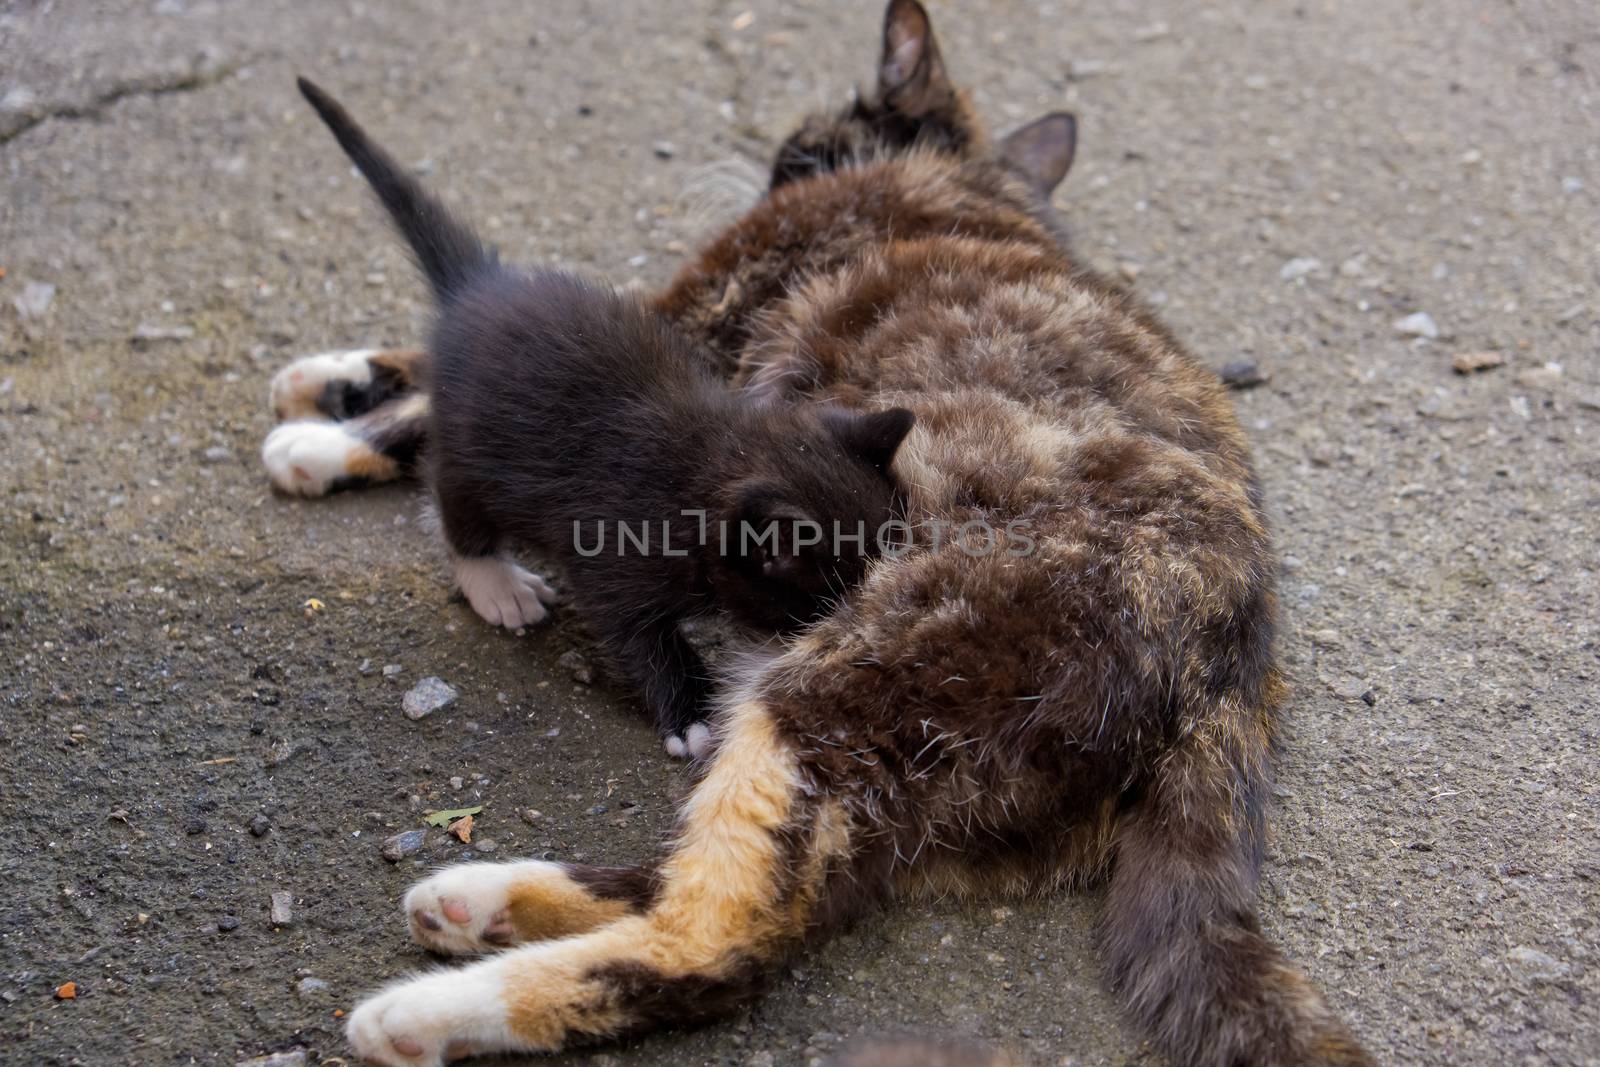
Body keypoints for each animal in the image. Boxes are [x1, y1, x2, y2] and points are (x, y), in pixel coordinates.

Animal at [297, 79, 915, 755]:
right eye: (828, 610)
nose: (869, 645)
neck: (707, 464)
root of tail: (478, 287)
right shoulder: (611, 554)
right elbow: (637, 634)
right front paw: (691, 715)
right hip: (471, 440)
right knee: (455, 502)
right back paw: (495, 582)